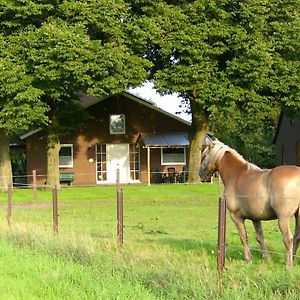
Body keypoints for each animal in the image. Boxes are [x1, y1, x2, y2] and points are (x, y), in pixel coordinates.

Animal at [200, 139, 300, 268]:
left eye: (204, 155)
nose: (201, 174)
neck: (236, 174)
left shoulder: (235, 216)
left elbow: (243, 237)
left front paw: (249, 259)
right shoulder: (255, 218)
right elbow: (260, 237)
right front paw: (267, 258)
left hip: (283, 218)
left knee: (288, 239)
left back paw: (288, 265)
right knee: (297, 237)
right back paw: (292, 260)